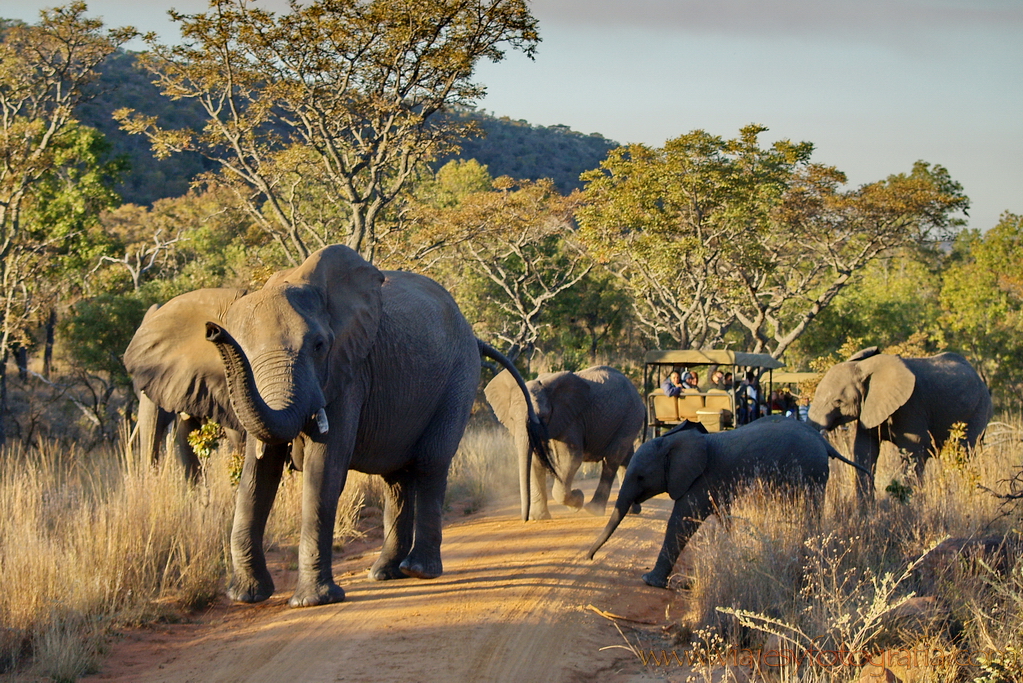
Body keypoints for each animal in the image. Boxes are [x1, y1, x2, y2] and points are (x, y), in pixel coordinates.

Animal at [125, 245, 552, 609]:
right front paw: (245, 596)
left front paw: (312, 601)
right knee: (397, 479)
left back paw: (418, 572)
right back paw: (384, 574)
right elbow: (257, 473)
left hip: (459, 376)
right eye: (237, 349)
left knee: (430, 463)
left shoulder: (349, 371)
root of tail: (474, 335)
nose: (214, 331)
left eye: (318, 346)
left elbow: (325, 467)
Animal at [484, 366, 642, 519]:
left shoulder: (572, 419)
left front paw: (578, 499)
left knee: (612, 459)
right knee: (626, 459)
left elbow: (570, 458)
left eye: (542, 417)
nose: (526, 518)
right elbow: (536, 461)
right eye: (511, 418)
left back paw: (593, 510)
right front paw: (539, 518)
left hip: (630, 417)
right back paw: (631, 511)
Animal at [589, 417, 867, 588]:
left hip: (810, 472)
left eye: (640, 477)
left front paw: (649, 581)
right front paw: (738, 549)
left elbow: (681, 521)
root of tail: (824, 442)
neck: (672, 442)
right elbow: (723, 517)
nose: (590, 558)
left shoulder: (701, 479)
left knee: (809, 509)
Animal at [806, 347, 990, 501]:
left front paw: (911, 506)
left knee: (963, 451)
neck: (865, 367)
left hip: (979, 409)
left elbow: (914, 449)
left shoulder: (911, 406)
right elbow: (864, 449)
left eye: (838, 401)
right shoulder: (869, 408)